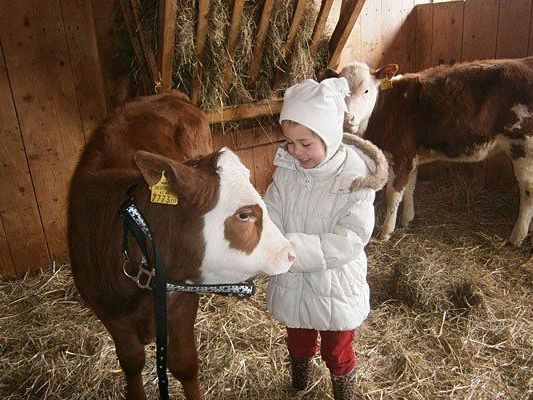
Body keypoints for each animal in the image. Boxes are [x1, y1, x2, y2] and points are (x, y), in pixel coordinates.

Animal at [67, 91, 296, 400]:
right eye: (244, 215)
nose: (290, 252)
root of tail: (165, 93)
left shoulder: (182, 300)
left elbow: (184, 364)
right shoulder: (110, 315)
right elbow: (131, 362)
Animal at [328, 55, 532, 244]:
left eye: (366, 90)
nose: (347, 118)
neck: (387, 108)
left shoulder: (402, 156)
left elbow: (393, 194)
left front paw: (386, 232)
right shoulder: (412, 157)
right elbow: (410, 188)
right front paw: (407, 219)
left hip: (523, 147)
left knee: (527, 191)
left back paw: (517, 237)